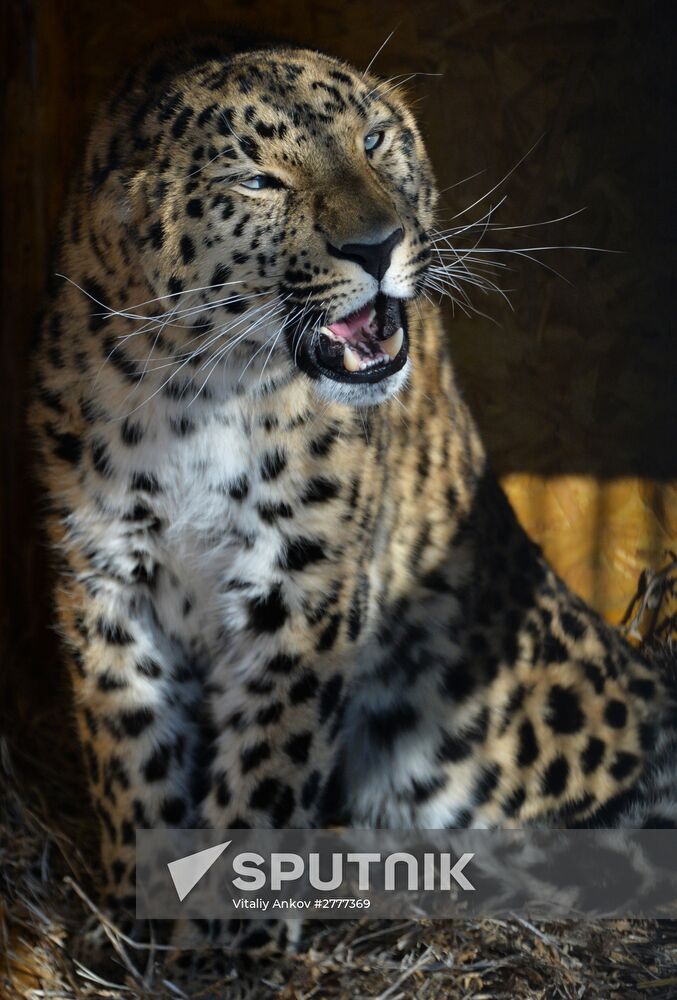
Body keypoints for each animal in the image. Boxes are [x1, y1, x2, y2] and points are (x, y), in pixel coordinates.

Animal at [30, 37, 677, 951]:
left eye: (372, 141)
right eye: (259, 180)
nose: (377, 246)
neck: (201, 396)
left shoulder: (307, 587)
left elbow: (265, 771)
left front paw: (230, 944)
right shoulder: (104, 578)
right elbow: (130, 746)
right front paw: (138, 921)